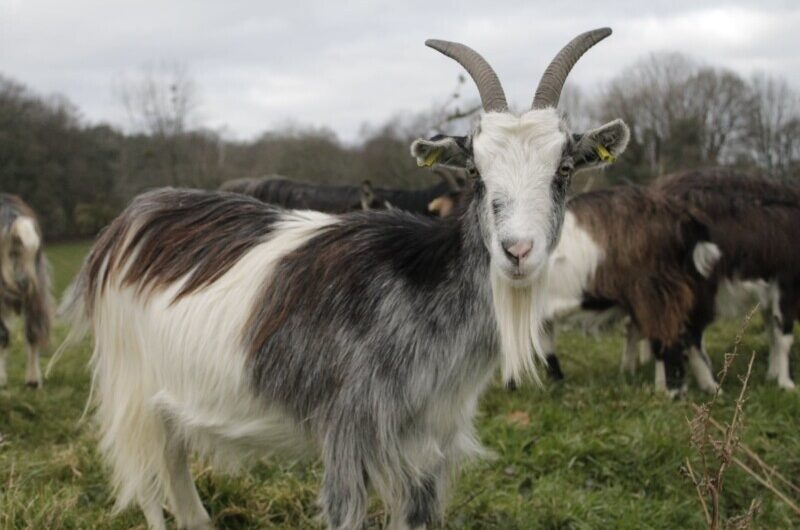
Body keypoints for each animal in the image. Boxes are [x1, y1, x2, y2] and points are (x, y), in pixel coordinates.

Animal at [59, 29, 628, 528]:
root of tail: (129, 220)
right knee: (154, 480)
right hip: (132, 387)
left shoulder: (429, 447)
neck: (420, 292)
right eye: (475, 172)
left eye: (563, 171)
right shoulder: (349, 433)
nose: (517, 251)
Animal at [544, 184, 720, 394]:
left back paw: (672, 393)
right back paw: (708, 387)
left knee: (669, 338)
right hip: (682, 291)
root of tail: (681, 216)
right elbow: (546, 349)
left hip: (656, 292)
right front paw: (555, 383)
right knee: (687, 335)